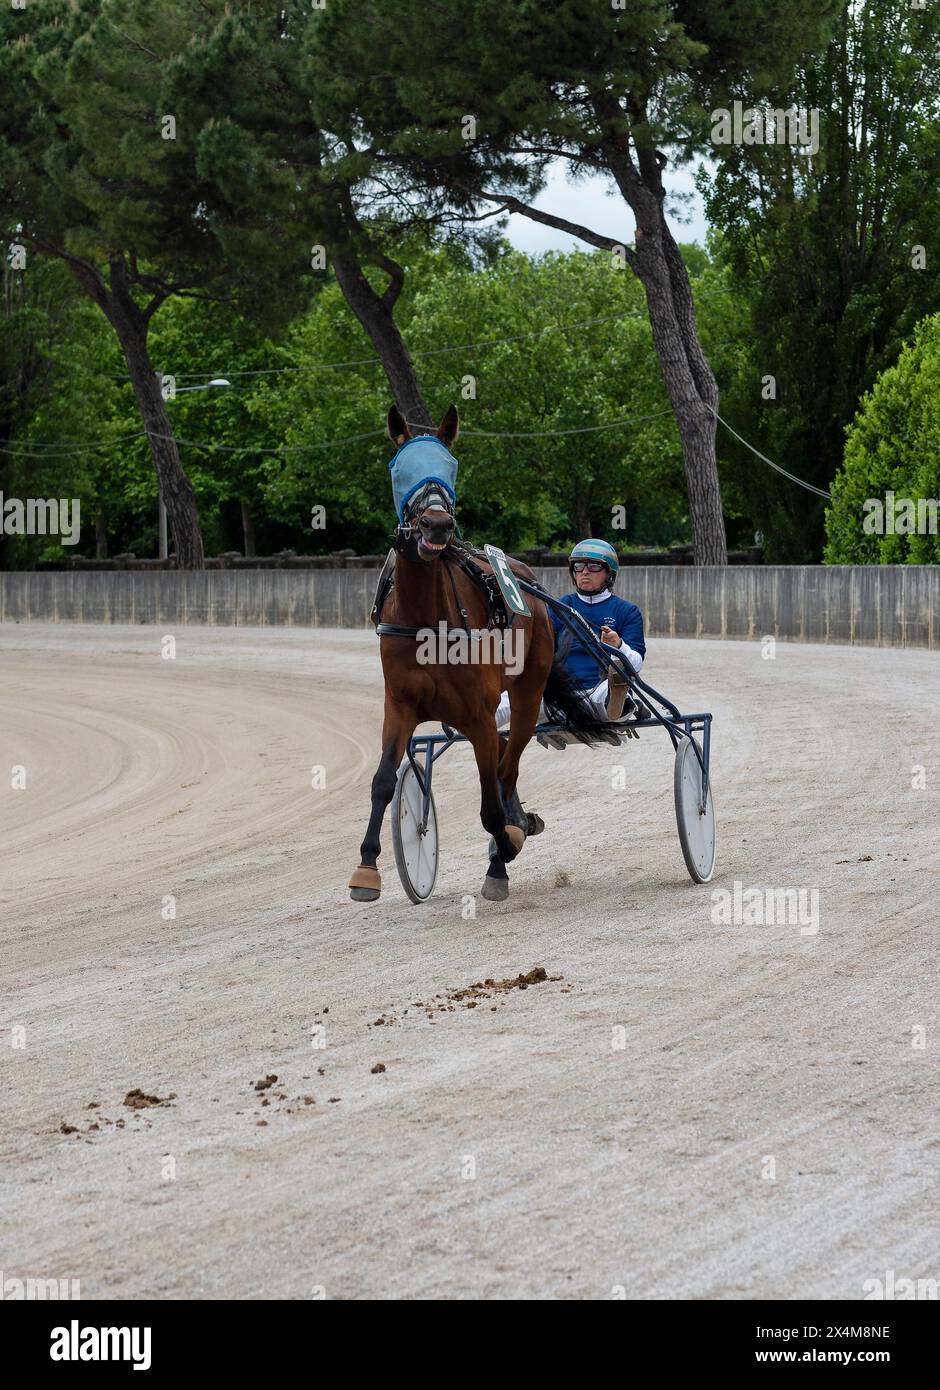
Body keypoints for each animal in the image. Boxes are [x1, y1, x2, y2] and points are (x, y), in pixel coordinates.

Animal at [348, 404, 618, 904]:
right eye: (400, 466)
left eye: (450, 465)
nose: (437, 524)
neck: (426, 619)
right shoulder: (399, 704)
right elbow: (383, 782)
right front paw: (366, 869)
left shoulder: (477, 714)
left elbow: (491, 805)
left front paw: (505, 849)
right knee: (504, 763)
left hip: (528, 693)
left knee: (507, 766)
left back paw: (508, 843)